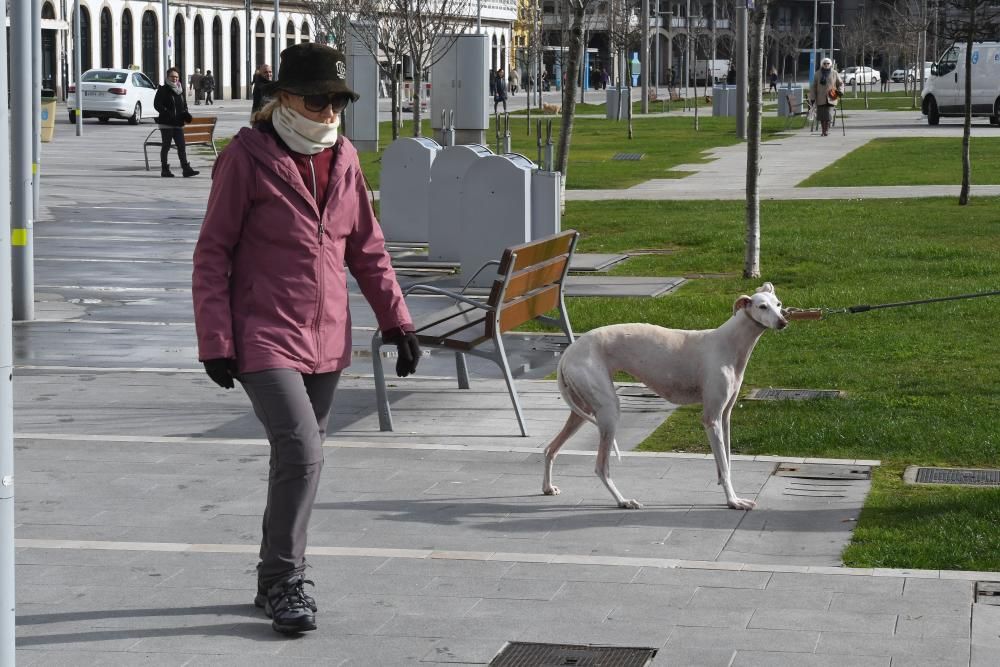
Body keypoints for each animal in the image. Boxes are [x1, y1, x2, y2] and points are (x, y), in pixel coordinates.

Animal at [544, 284, 784, 512]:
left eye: (779, 304)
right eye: (762, 307)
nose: (783, 322)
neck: (730, 344)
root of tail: (568, 352)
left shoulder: (725, 416)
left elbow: (726, 461)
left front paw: (731, 496)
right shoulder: (711, 418)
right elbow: (724, 466)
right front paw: (734, 501)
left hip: (582, 410)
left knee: (550, 449)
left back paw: (548, 487)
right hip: (608, 411)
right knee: (601, 467)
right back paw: (624, 501)